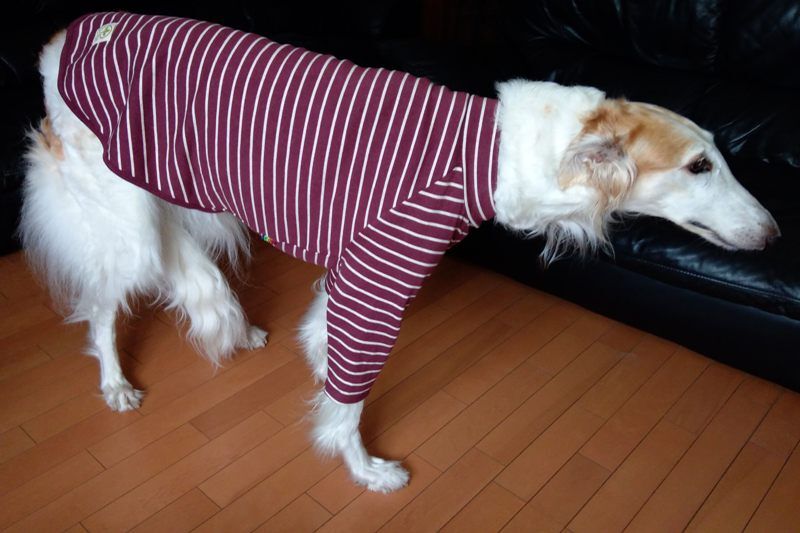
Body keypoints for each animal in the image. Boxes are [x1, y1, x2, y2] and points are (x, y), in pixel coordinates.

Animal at [22, 12, 779, 493]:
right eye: (699, 166)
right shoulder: (379, 272)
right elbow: (350, 399)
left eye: (719, 157)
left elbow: (323, 345)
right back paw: (115, 384)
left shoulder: (350, 270)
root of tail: (63, 38)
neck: (494, 152)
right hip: (125, 225)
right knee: (100, 306)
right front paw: (363, 468)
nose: (774, 236)